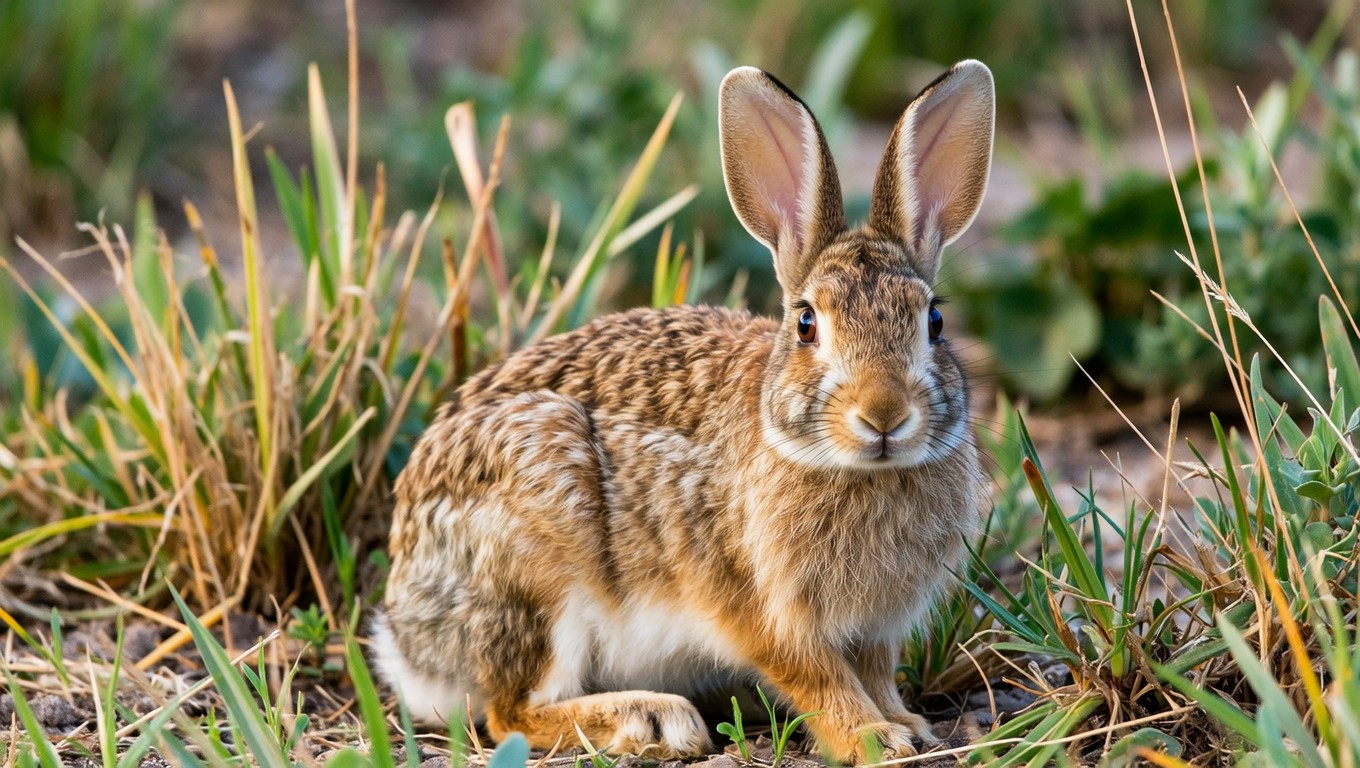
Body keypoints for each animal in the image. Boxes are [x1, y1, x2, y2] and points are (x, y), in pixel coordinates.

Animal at [371, 59, 994, 764]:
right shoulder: (762, 610)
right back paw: (652, 719)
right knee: (510, 715)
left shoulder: (877, 629)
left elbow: (875, 673)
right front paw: (871, 737)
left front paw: (906, 723)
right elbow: (818, 677)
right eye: (807, 323)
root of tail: (407, 637)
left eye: (934, 321)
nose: (883, 414)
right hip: (535, 562)